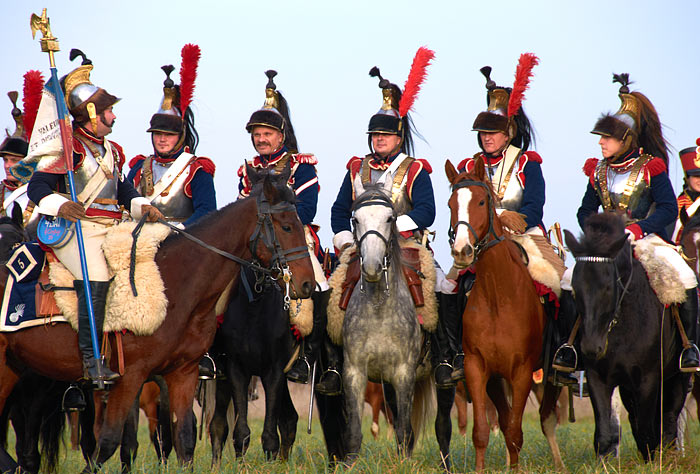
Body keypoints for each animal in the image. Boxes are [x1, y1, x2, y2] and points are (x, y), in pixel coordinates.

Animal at [0, 165, 315, 470]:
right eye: (286, 226)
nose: (307, 284)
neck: (174, 283)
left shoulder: (183, 373)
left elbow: (184, 439)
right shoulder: (130, 378)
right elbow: (109, 441)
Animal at [341, 176, 438, 464]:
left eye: (390, 218)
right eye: (355, 219)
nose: (372, 267)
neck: (379, 309)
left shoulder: (404, 373)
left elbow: (405, 429)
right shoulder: (354, 372)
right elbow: (353, 431)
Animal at [445, 158, 564, 472]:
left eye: (481, 201)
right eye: (450, 204)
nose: (462, 252)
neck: (498, 296)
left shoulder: (522, 372)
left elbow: (514, 432)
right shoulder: (477, 368)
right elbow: (482, 431)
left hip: (548, 378)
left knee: (547, 419)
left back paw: (558, 462)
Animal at [564, 212, 690, 460]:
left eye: (607, 287)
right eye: (574, 288)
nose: (591, 348)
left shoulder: (648, 378)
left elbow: (648, 431)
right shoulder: (598, 377)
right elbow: (605, 433)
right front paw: (605, 462)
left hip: (678, 376)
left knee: (670, 418)